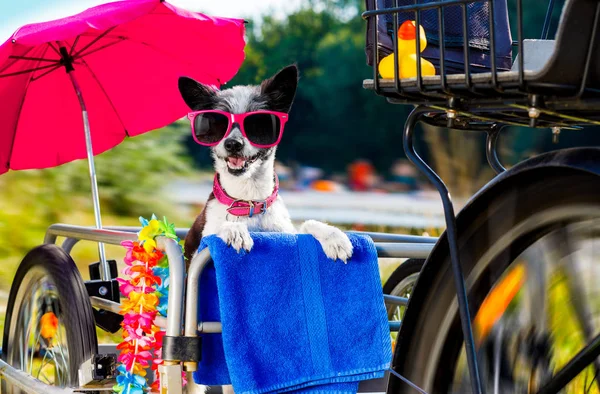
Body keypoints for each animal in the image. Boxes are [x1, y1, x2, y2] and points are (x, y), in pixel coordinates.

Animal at [180, 64, 354, 268]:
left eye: (258, 124)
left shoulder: (287, 234)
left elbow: (308, 223)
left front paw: (335, 237)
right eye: (217, 123)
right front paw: (234, 229)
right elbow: (220, 226)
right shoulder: (201, 245)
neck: (248, 202)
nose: (233, 144)